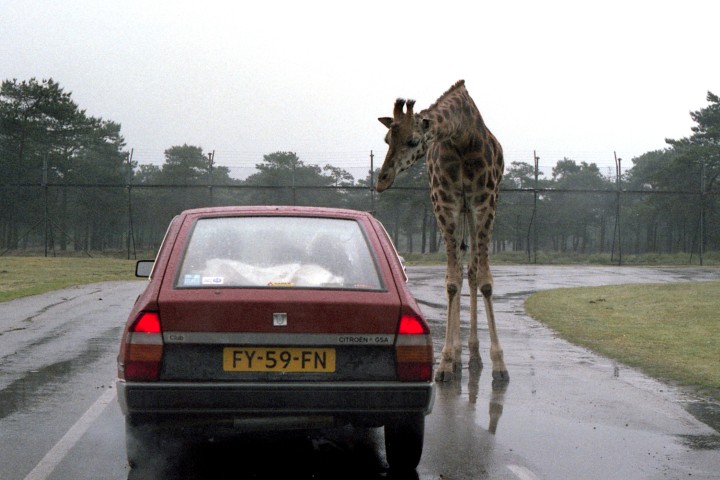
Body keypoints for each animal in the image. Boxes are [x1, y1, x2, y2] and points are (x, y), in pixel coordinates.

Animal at [376, 80, 509, 384]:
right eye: (387, 140)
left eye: (413, 141)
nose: (382, 181)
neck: (461, 137)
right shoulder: (445, 203)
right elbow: (451, 281)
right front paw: (446, 362)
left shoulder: (484, 202)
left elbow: (484, 280)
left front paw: (499, 365)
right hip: (459, 211)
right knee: (462, 271)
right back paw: (461, 357)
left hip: (470, 211)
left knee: (471, 272)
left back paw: (474, 356)